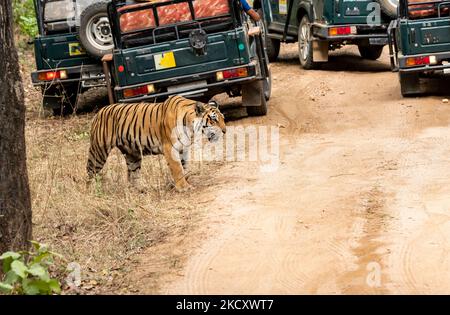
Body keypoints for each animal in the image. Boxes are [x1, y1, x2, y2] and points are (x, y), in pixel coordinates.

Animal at [86, 95, 227, 191]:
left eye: (223, 118)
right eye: (214, 119)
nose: (225, 131)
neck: (190, 127)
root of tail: (98, 113)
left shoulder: (184, 149)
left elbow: (185, 167)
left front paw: (184, 181)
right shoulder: (170, 148)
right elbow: (177, 168)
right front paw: (183, 187)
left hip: (133, 155)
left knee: (132, 175)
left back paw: (139, 191)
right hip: (99, 152)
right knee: (90, 172)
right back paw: (91, 193)